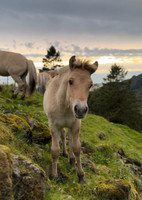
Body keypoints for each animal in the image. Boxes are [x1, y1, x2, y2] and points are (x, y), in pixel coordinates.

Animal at [42, 55, 97, 184]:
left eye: (90, 85)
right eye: (70, 81)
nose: (81, 110)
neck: (65, 106)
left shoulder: (76, 124)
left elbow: (76, 148)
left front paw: (81, 176)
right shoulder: (53, 126)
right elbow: (55, 151)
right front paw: (54, 175)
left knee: (70, 139)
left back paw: (71, 160)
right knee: (63, 135)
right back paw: (65, 153)